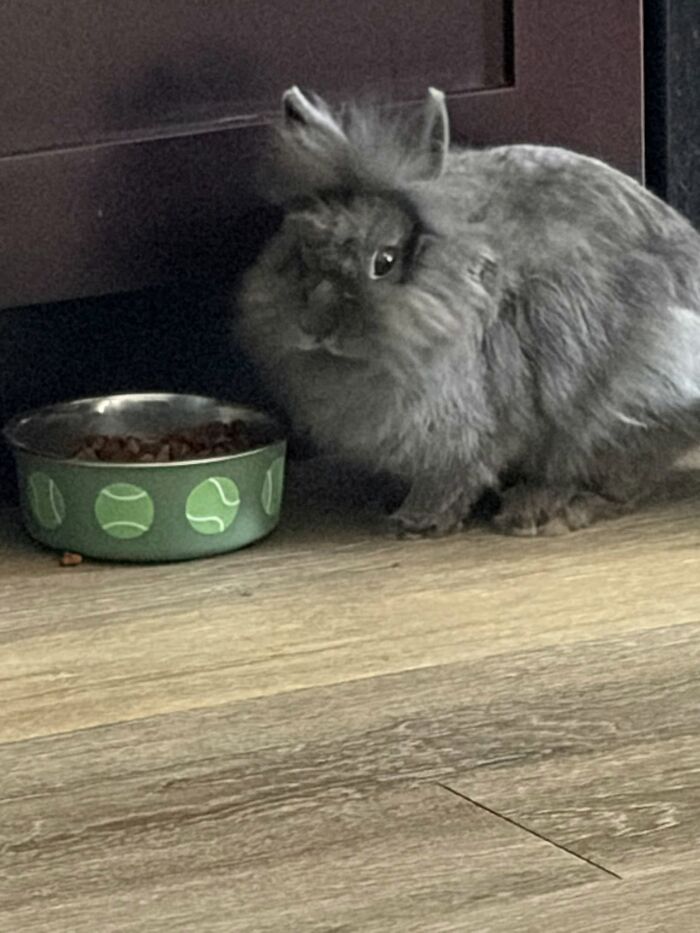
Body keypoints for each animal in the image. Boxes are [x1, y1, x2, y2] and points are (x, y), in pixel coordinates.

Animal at [236, 85, 700, 537]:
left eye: (384, 262)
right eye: (302, 248)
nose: (315, 325)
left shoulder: (465, 423)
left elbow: (455, 477)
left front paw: (414, 522)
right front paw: (390, 504)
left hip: (617, 402)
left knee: (621, 479)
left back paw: (541, 511)